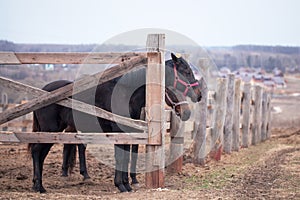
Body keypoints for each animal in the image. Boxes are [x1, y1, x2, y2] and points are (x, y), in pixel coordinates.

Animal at [28, 52, 202, 192]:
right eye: (186, 71)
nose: (198, 95)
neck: (127, 95)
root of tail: (40, 95)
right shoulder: (119, 132)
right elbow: (121, 157)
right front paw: (121, 185)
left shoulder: (128, 134)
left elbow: (126, 156)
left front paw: (127, 184)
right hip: (50, 131)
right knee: (37, 151)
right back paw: (39, 186)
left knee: (45, 153)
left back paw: (40, 183)